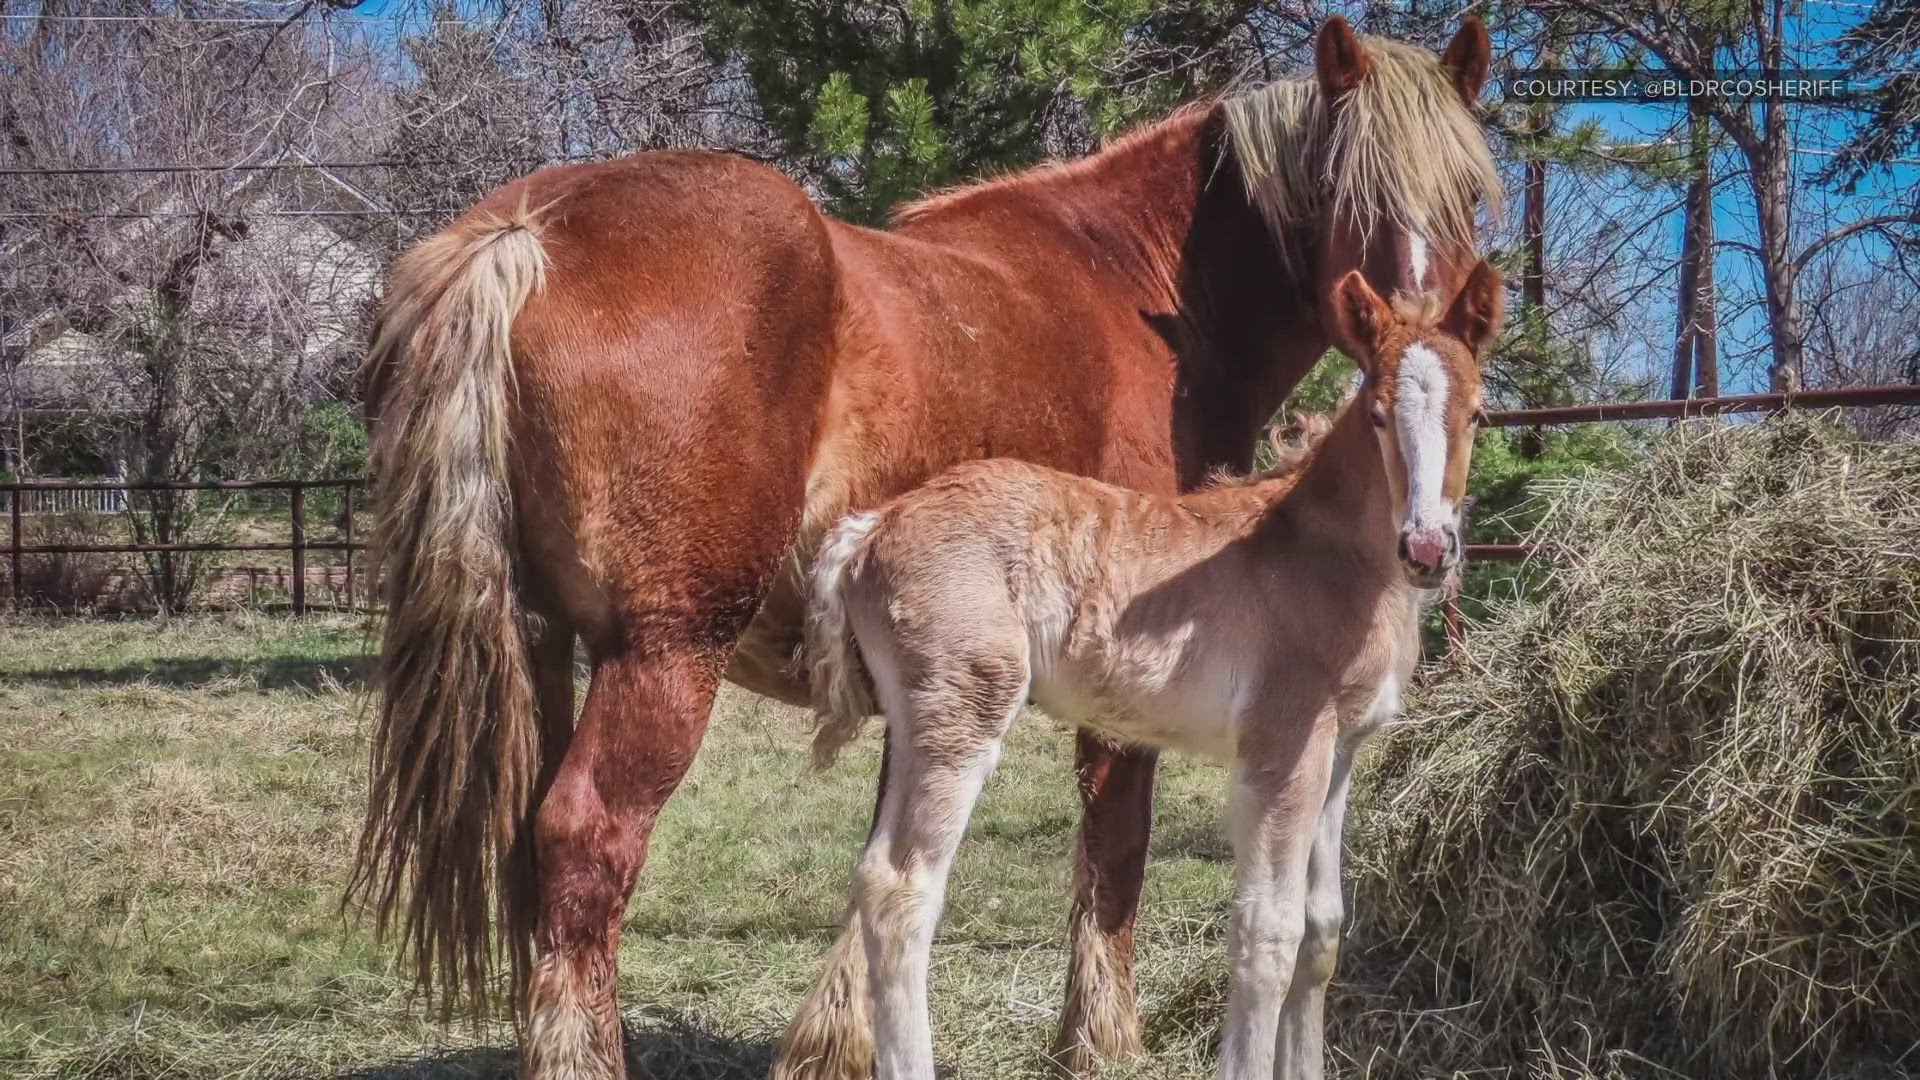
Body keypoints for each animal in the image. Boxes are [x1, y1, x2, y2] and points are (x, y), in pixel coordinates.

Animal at [794, 263, 1497, 1076]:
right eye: (1379, 415)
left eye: (1477, 415)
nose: (1427, 549)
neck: (1322, 555)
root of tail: (873, 524)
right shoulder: (1284, 750)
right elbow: (1269, 933)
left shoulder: (1341, 752)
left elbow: (1322, 932)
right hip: (963, 713)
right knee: (904, 890)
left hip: (918, 723)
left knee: (875, 877)